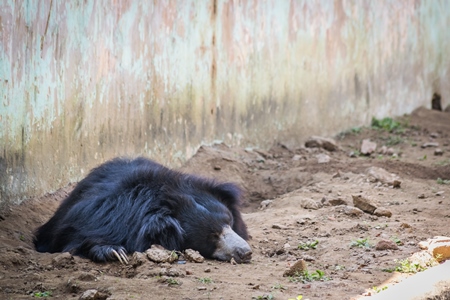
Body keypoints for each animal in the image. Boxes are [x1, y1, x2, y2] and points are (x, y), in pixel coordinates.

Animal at [34, 157, 253, 262]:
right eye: (212, 235)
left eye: (230, 222)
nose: (246, 252)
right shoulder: (100, 216)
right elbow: (75, 239)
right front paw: (115, 252)